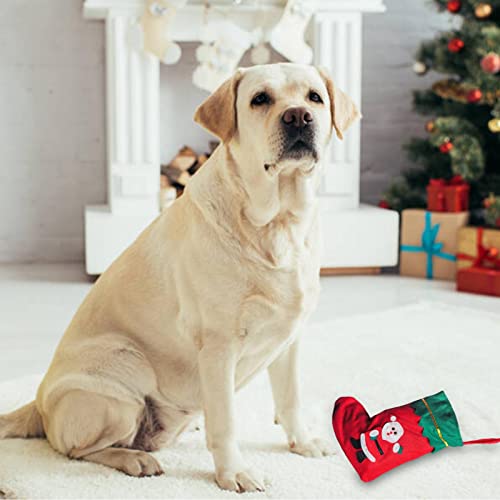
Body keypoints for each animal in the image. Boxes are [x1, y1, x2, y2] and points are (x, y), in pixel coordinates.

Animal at [0, 61, 360, 492]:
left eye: (314, 98)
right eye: (260, 99)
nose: (298, 117)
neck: (278, 221)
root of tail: (37, 403)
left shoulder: (289, 339)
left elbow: (290, 399)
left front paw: (303, 442)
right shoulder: (219, 346)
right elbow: (226, 422)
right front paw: (234, 473)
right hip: (124, 373)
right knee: (75, 450)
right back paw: (135, 459)